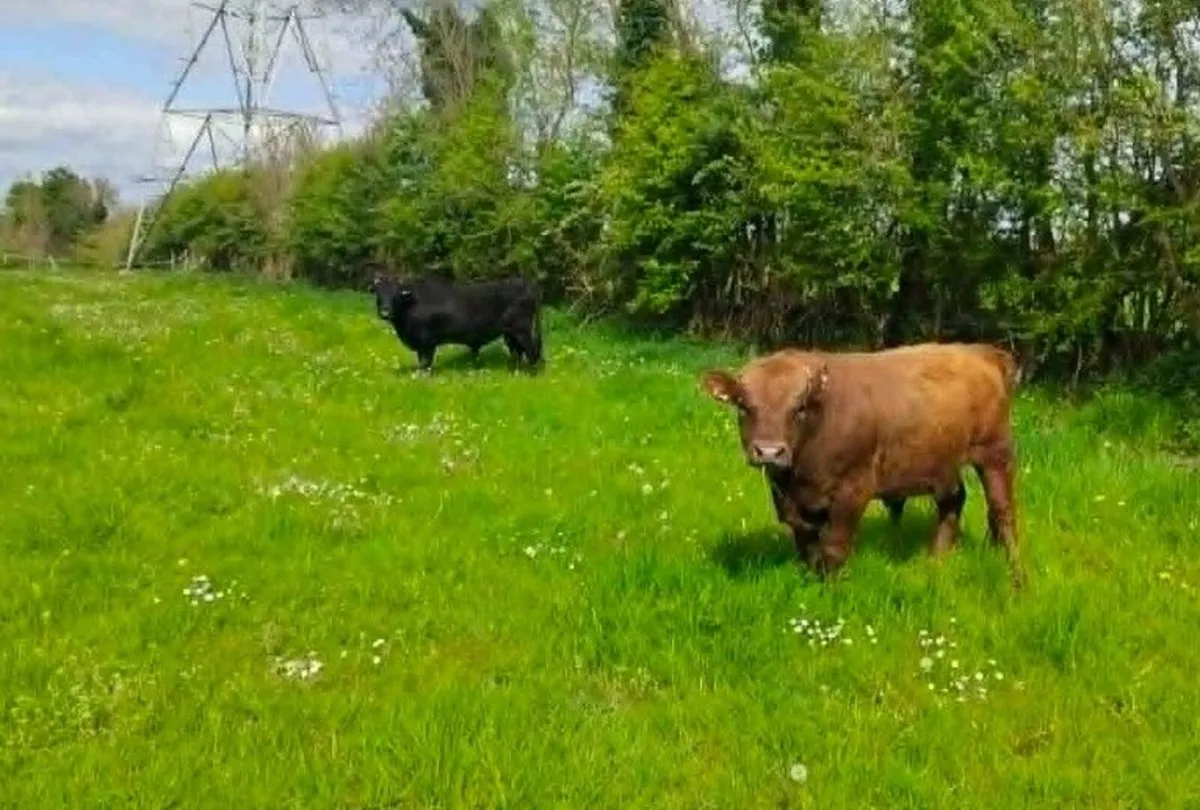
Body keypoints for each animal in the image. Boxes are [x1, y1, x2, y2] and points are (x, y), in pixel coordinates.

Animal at [369, 272, 544, 373]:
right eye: (379, 294)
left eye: (396, 295)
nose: (385, 312)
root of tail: (525, 283)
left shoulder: (427, 341)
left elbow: (425, 362)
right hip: (510, 334)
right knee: (517, 351)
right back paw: (514, 371)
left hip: (522, 330)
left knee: (531, 350)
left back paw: (531, 373)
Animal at [701, 342, 1024, 586]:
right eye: (744, 406)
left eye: (799, 408)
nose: (769, 451)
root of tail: (980, 351)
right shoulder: (789, 500)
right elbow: (807, 545)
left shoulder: (852, 491)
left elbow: (833, 546)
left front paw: (829, 591)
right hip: (942, 462)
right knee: (953, 501)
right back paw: (936, 560)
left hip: (995, 455)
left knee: (1002, 512)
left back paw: (1016, 577)